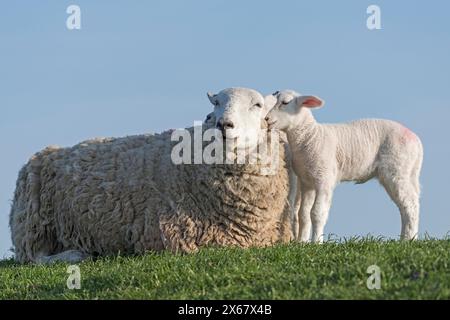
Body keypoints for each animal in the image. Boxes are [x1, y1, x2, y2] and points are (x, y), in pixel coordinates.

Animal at [9, 87, 296, 262]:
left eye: (257, 104)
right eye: (217, 103)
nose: (223, 124)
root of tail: (45, 152)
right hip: (34, 224)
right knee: (35, 257)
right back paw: (75, 255)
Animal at [266, 90, 424, 242]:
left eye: (285, 102)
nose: (266, 119)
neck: (310, 136)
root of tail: (417, 142)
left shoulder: (324, 178)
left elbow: (317, 213)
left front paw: (316, 242)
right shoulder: (306, 182)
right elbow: (303, 214)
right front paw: (302, 242)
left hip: (396, 169)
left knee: (410, 205)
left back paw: (408, 240)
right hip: (407, 172)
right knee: (407, 203)